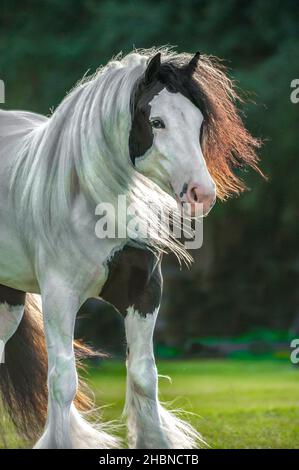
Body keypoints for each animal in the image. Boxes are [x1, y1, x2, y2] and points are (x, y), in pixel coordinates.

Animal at [0, 47, 262, 448]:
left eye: (199, 121)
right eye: (156, 122)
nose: (201, 194)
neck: (90, 198)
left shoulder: (143, 292)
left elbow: (143, 375)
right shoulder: (60, 295)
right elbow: (62, 381)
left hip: (9, 300)